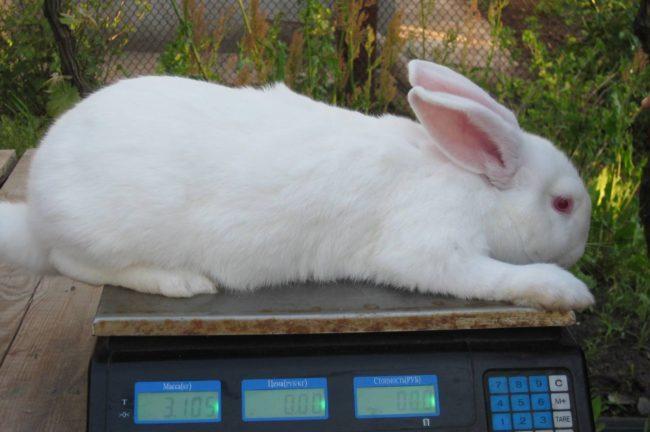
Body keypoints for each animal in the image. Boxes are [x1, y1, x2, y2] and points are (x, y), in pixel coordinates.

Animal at [0, 59, 594, 310]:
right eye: (563, 203)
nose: (582, 248)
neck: (469, 184)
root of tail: (36, 214)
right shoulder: (433, 251)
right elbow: (495, 277)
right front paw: (569, 292)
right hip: (103, 237)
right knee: (75, 264)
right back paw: (182, 282)